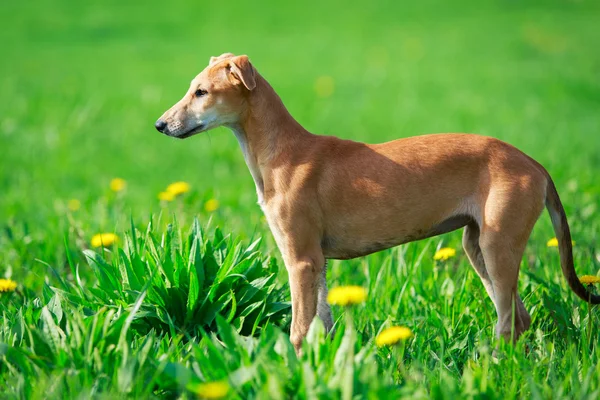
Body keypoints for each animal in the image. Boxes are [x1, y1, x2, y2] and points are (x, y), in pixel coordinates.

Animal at [156, 52, 600, 354]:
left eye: (201, 92)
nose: (160, 125)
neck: (282, 152)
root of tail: (534, 164)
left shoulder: (301, 259)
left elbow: (299, 331)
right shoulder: (317, 263)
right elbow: (321, 328)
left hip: (498, 246)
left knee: (508, 323)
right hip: (478, 248)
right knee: (520, 319)